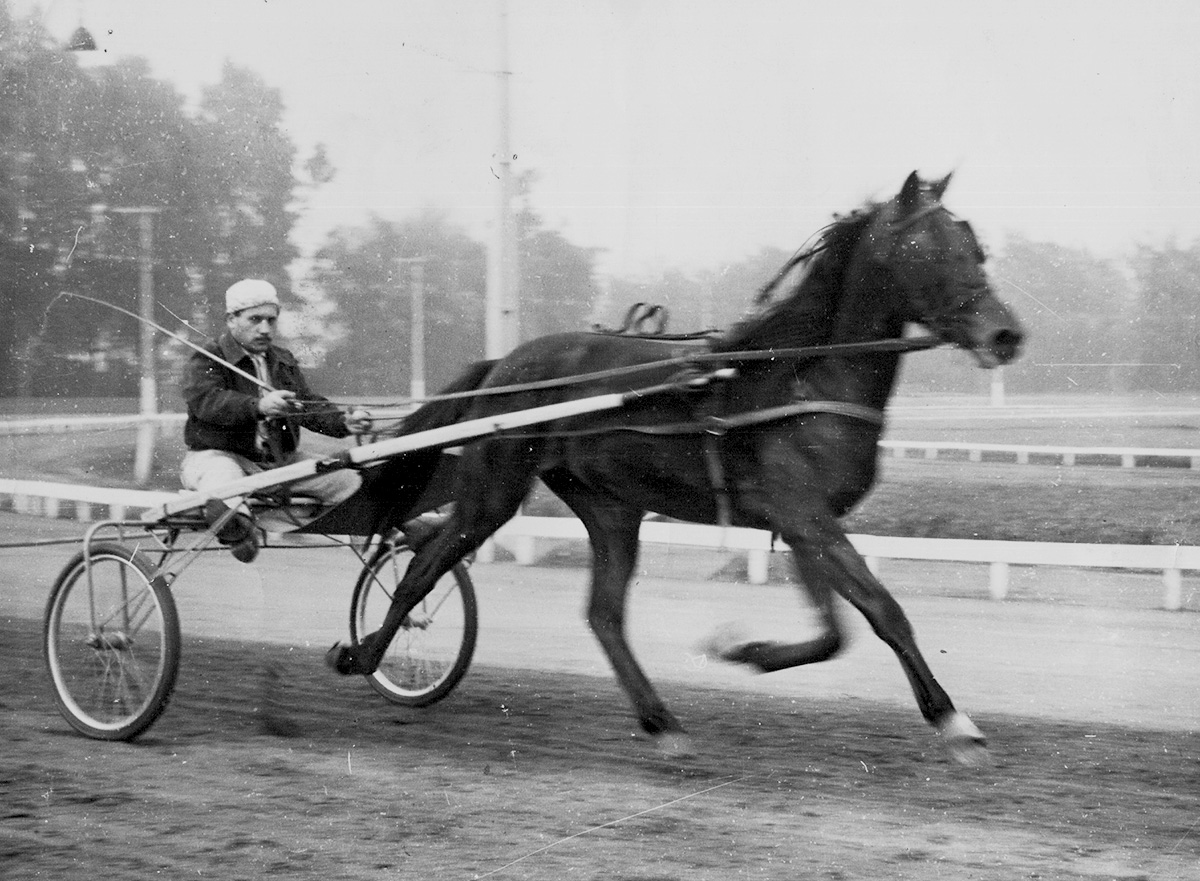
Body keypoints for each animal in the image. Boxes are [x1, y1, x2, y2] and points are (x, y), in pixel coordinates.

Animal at [333, 172, 1027, 768]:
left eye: (975, 245)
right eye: (928, 249)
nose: (1006, 335)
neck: (802, 376)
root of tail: (503, 363)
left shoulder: (801, 522)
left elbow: (833, 633)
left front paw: (746, 650)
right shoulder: (806, 515)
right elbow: (883, 611)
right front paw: (955, 723)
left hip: (611, 507)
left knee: (604, 614)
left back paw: (661, 722)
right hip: (494, 491)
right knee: (423, 568)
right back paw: (362, 654)